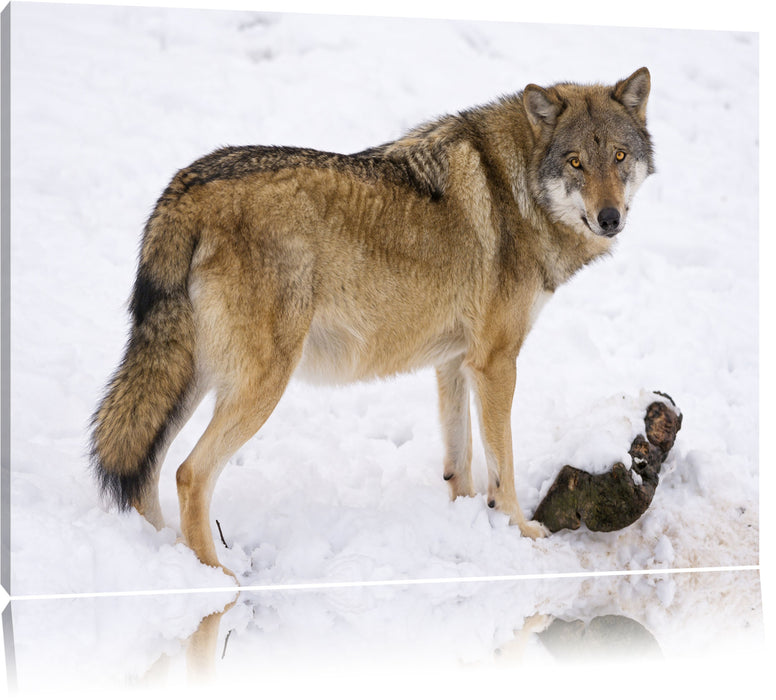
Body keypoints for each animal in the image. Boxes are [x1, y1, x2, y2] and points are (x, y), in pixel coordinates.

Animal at [90, 68, 654, 576]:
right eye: (576, 163)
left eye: (618, 157)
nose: (609, 218)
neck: (516, 190)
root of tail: (185, 186)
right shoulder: (496, 363)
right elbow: (503, 466)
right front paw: (521, 532)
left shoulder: (455, 362)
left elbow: (461, 462)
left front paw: (468, 526)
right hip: (259, 384)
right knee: (189, 473)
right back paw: (218, 579)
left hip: (193, 378)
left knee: (147, 474)